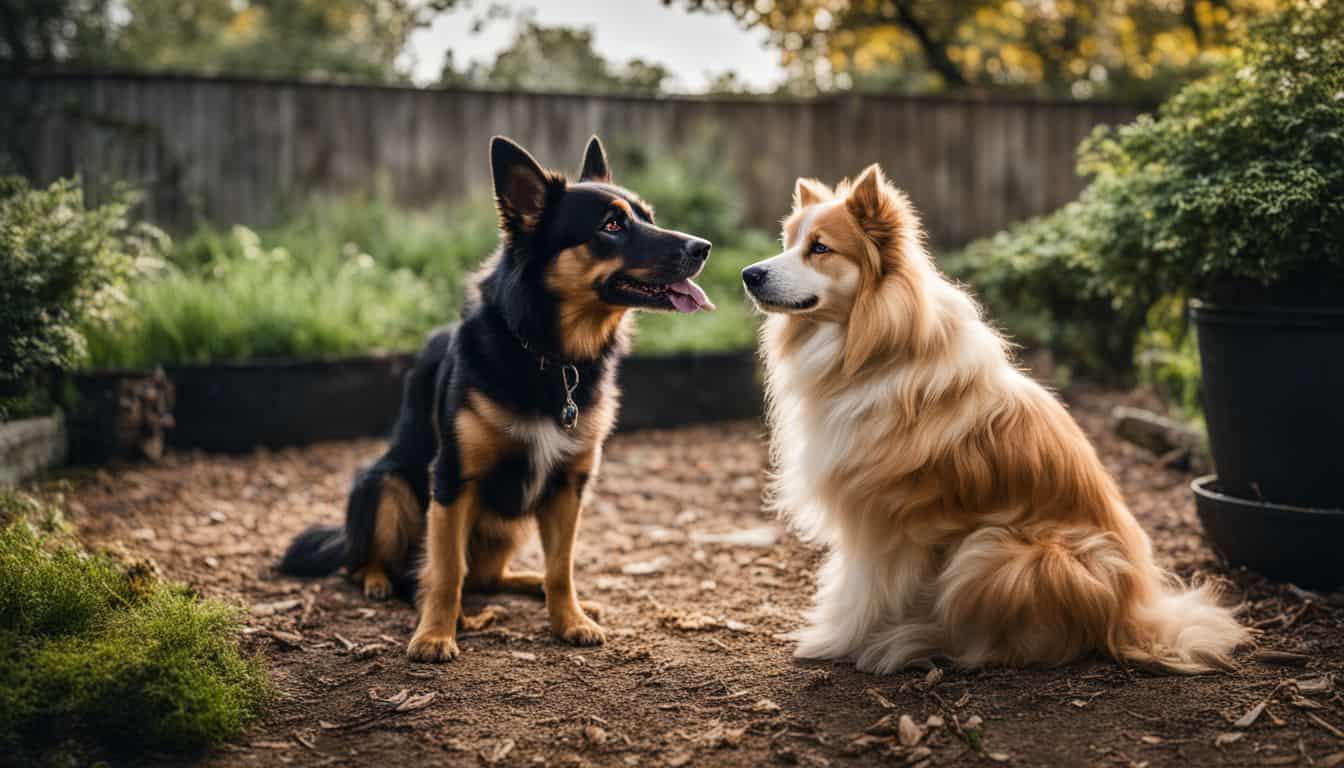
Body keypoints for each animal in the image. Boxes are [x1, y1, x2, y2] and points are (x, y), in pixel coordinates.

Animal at [280, 133, 715, 661]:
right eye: (611, 226)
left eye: (647, 216)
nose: (703, 248)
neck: (550, 355)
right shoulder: (452, 481)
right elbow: (447, 571)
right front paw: (435, 634)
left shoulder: (568, 486)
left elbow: (561, 568)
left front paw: (569, 619)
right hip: (386, 484)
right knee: (371, 562)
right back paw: (380, 582)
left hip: (509, 525)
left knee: (493, 576)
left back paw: (530, 585)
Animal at [741, 164, 1241, 672]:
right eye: (788, 243)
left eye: (820, 248)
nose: (749, 274)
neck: (869, 349)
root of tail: (1131, 616)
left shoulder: (883, 522)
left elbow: (861, 588)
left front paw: (838, 639)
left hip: (991, 550)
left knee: (1007, 645)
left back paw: (913, 640)